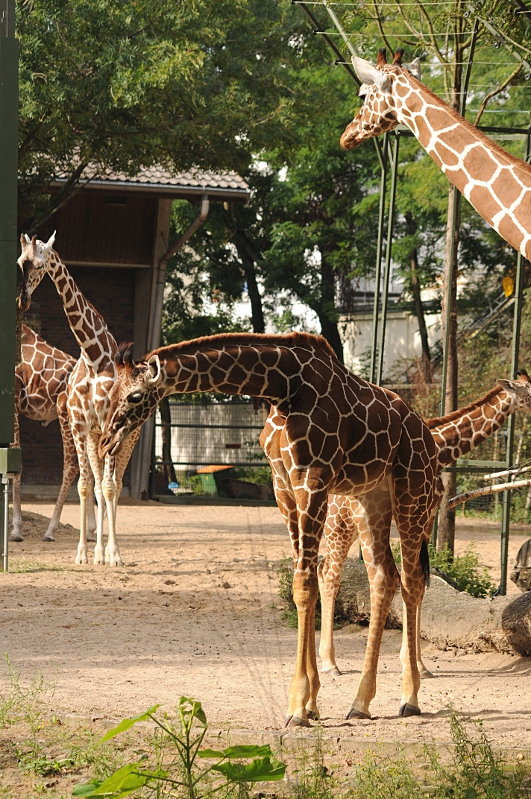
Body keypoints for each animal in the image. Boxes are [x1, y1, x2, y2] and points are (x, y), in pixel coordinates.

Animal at [11, 324, 96, 543]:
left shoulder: (12, 402)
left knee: (72, 466)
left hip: (65, 413)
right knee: (88, 467)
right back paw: (91, 531)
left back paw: (50, 531)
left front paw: (16, 529)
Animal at [98, 332, 444, 725]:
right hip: (371, 498)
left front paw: (297, 705)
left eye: (134, 396)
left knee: (412, 580)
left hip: (411, 492)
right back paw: (360, 702)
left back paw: (410, 697)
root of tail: (428, 436)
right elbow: (304, 584)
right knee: (384, 577)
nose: (106, 442)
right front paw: (311, 703)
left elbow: (305, 583)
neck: (284, 386)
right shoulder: (283, 484)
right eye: (109, 392)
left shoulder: (312, 480)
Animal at [316, 373, 531, 677]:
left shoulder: (426, 520)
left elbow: (419, 583)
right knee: (331, 573)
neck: (439, 449)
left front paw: (417, 664)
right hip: (341, 522)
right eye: (529, 392)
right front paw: (409, 662)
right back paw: (330, 663)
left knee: (323, 567)